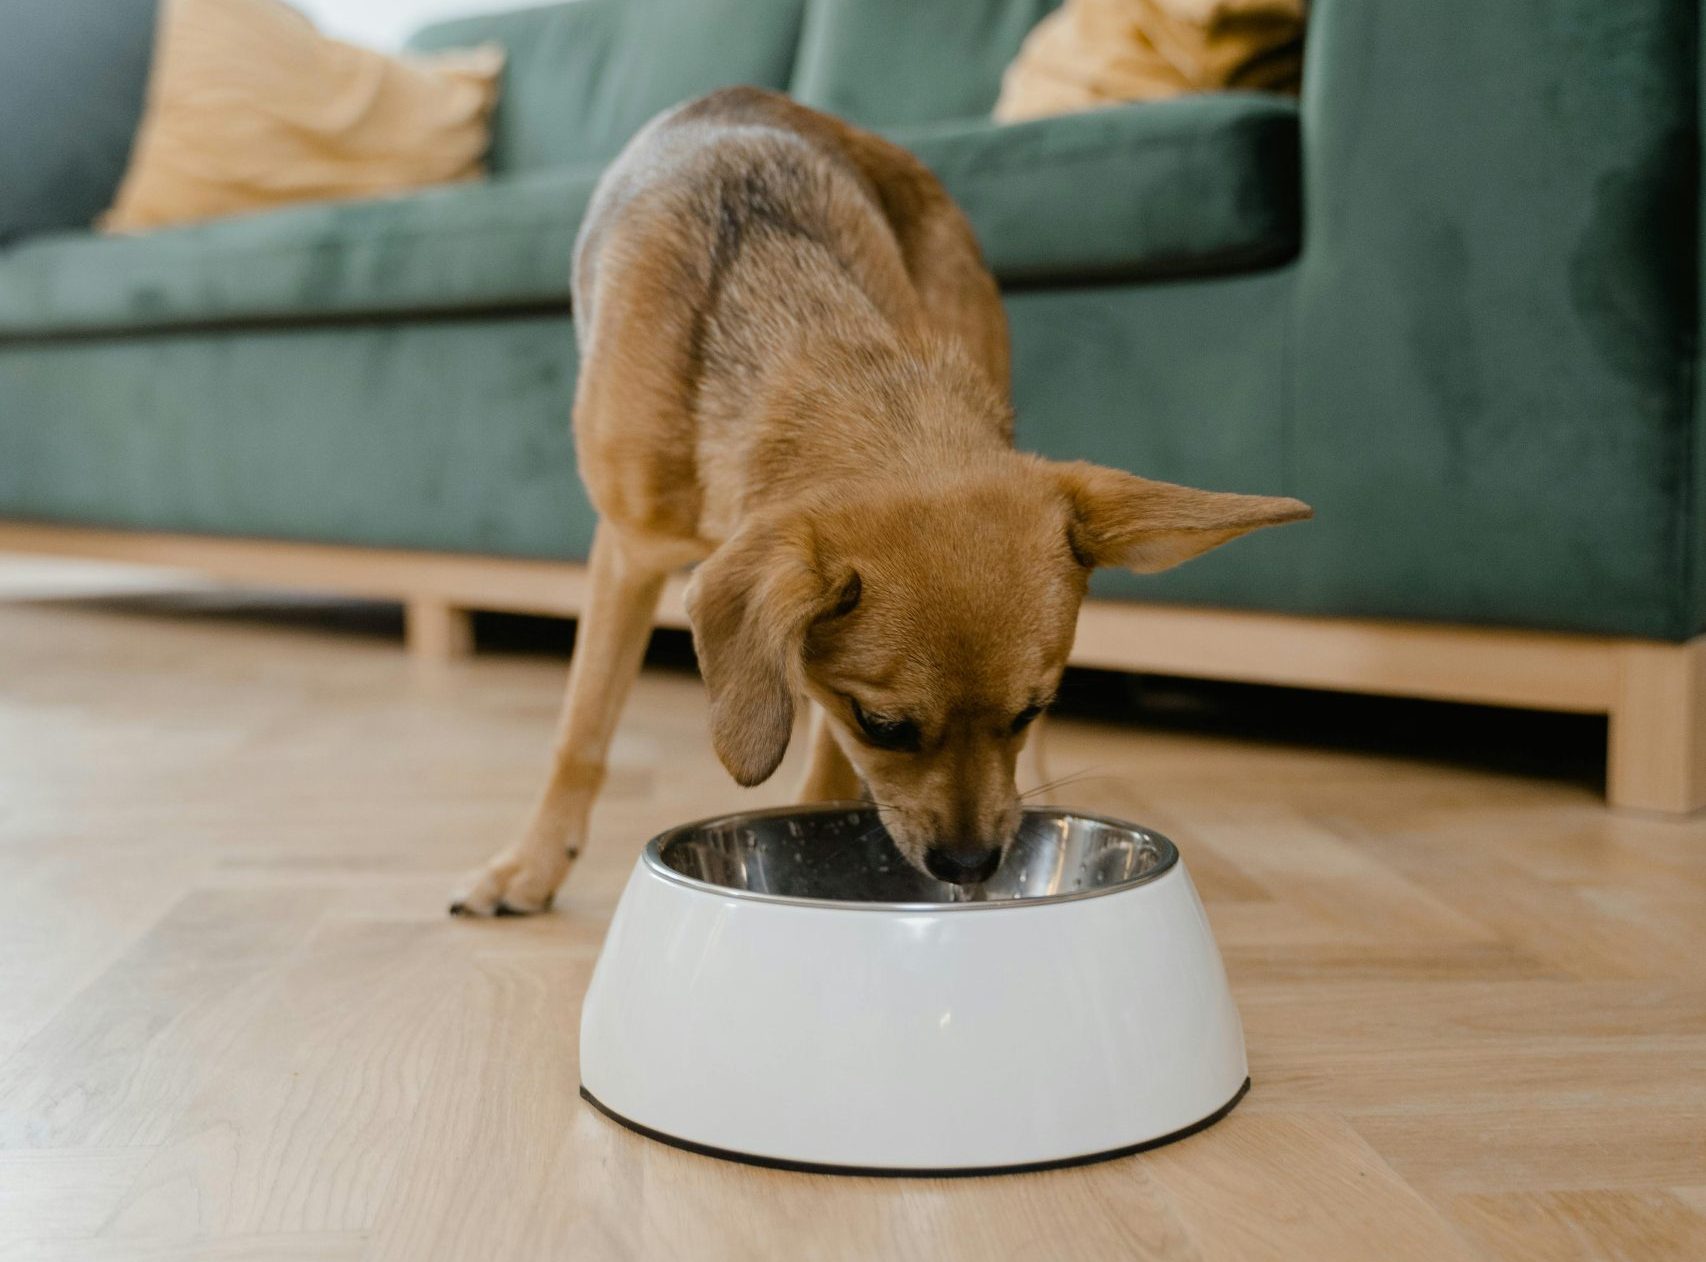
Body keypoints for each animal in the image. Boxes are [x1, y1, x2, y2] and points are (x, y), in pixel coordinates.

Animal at [450, 86, 1303, 914]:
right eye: (884, 725)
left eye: (1028, 711)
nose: (971, 864)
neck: (808, 341)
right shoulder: (627, 554)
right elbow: (582, 730)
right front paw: (531, 863)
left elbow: (823, 766)